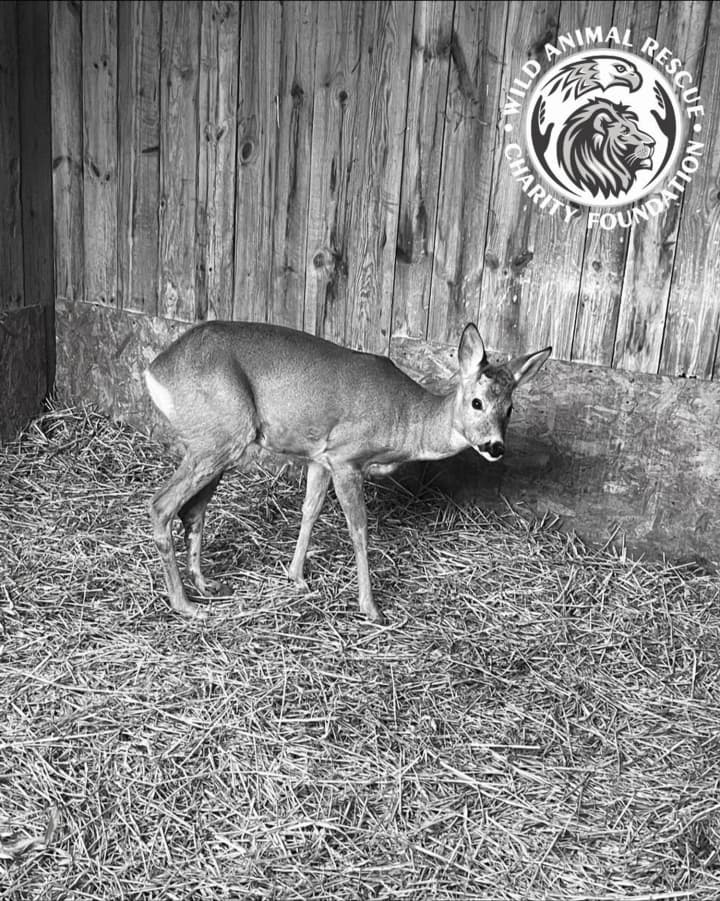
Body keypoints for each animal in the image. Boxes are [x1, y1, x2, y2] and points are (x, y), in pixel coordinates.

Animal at [144, 322, 551, 625]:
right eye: (477, 402)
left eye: (511, 408)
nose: (495, 447)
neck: (406, 420)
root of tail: (155, 369)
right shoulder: (345, 457)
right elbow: (359, 530)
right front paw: (371, 608)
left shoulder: (319, 457)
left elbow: (309, 511)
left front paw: (296, 577)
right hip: (222, 435)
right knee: (161, 506)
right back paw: (186, 605)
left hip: (214, 441)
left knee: (192, 511)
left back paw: (207, 586)